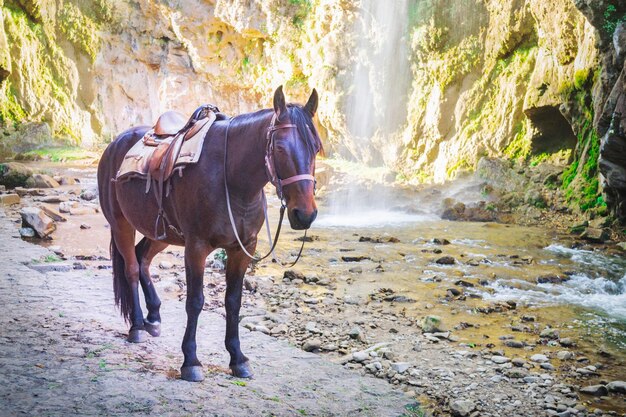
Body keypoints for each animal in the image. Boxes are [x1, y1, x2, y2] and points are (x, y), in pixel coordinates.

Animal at [98, 87, 322, 380]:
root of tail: (114, 144)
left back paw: (153, 318)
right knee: (132, 268)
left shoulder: (242, 249)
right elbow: (195, 301)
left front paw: (238, 358)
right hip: (121, 224)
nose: (304, 214)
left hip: (161, 233)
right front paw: (191, 361)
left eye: (316, 148)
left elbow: (233, 301)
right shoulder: (196, 247)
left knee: (143, 258)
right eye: (280, 147)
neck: (232, 181)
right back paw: (137, 326)